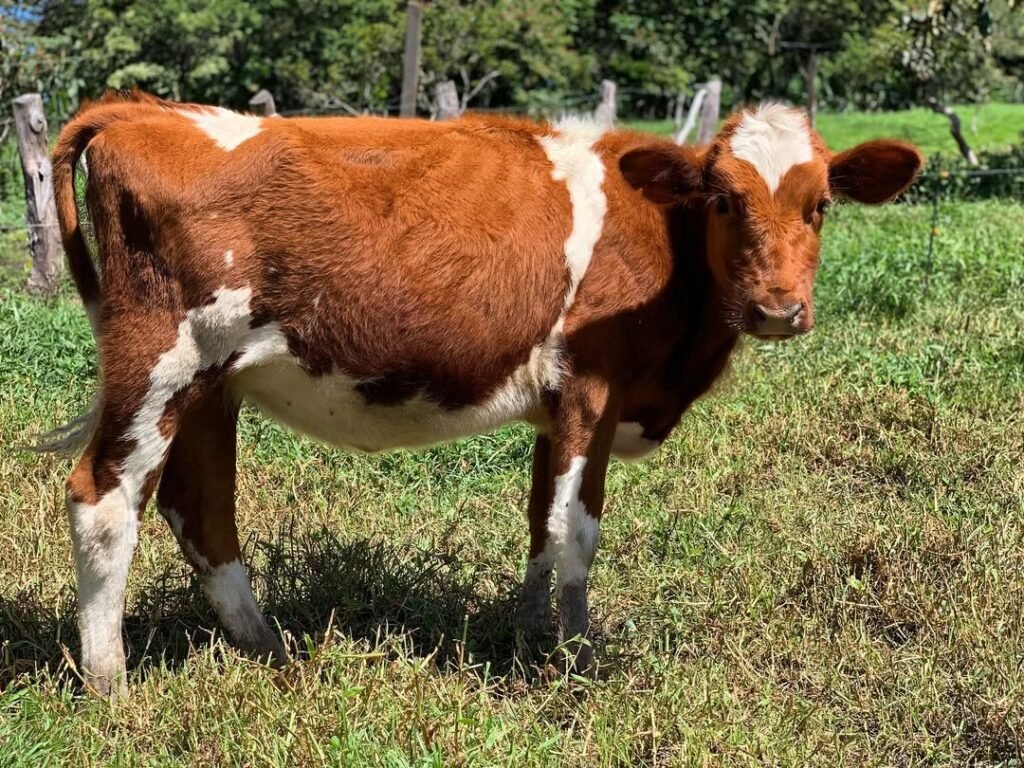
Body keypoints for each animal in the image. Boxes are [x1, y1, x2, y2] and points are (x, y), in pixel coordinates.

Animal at [44, 92, 921, 695]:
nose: (778, 308)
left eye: (822, 205)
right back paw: (112, 687)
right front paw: (573, 660)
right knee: (104, 498)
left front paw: (531, 636)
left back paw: (271, 650)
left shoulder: (557, 410)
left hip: (210, 382)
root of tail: (144, 110)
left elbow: (540, 524)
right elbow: (575, 532)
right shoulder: (591, 390)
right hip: (159, 360)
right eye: (724, 200)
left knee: (201, 508)